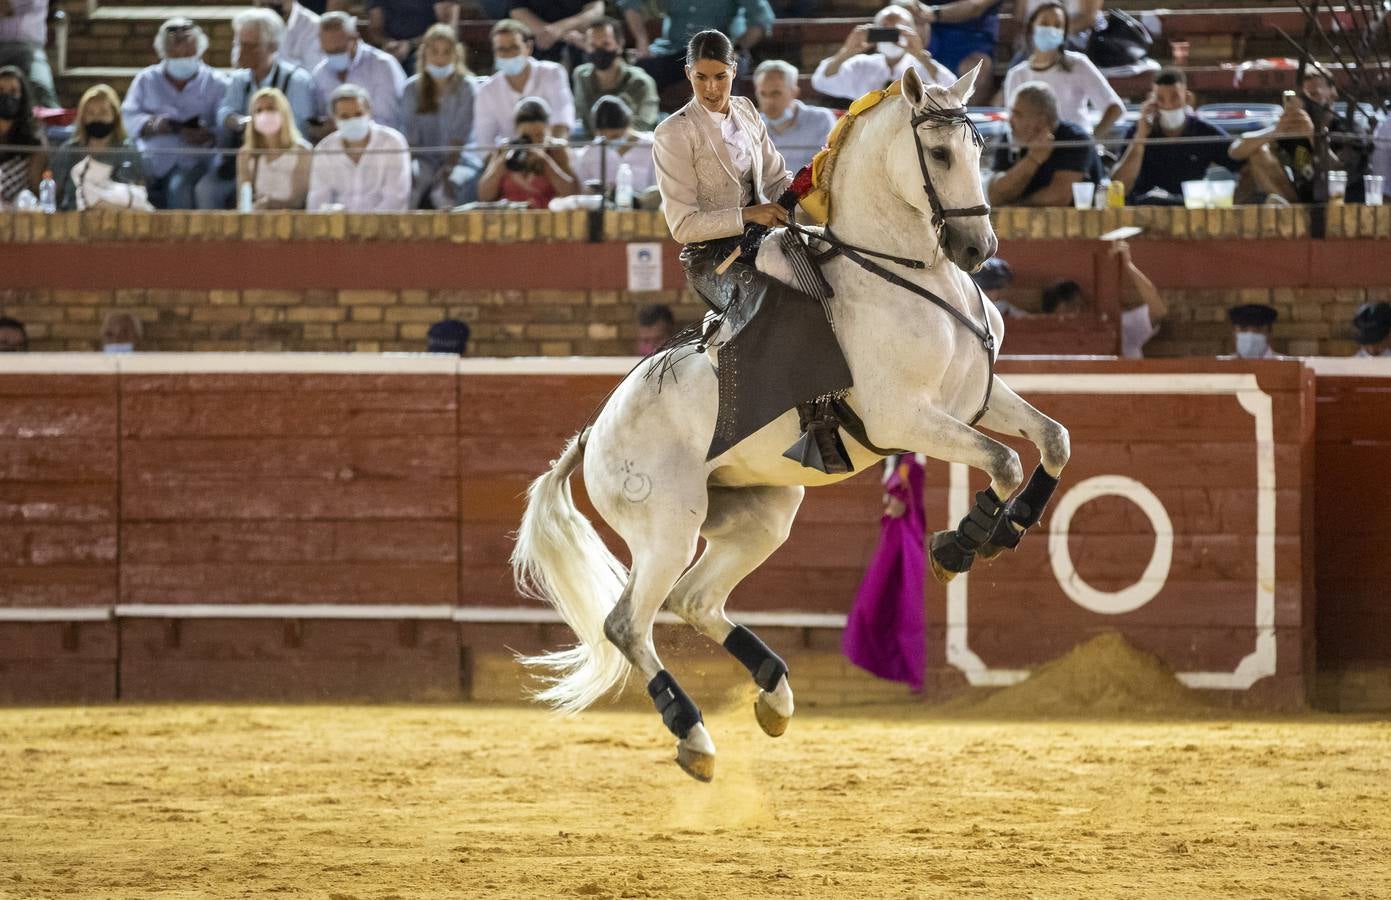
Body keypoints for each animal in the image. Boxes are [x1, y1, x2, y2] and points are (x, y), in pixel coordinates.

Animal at [517, 65, 1068, 778]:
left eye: (980, 151)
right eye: (940, 153)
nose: (977, 247)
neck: (912, 281)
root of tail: (593, 435)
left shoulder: (975, 397)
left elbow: (1052, 441)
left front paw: (1008, 527)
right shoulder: (904, 418)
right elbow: (1003, 459)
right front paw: (959, 545)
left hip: (762, 517)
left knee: (694, 600)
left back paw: (774, 695)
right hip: (667, 528)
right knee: (628, 623)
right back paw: (693, 735)